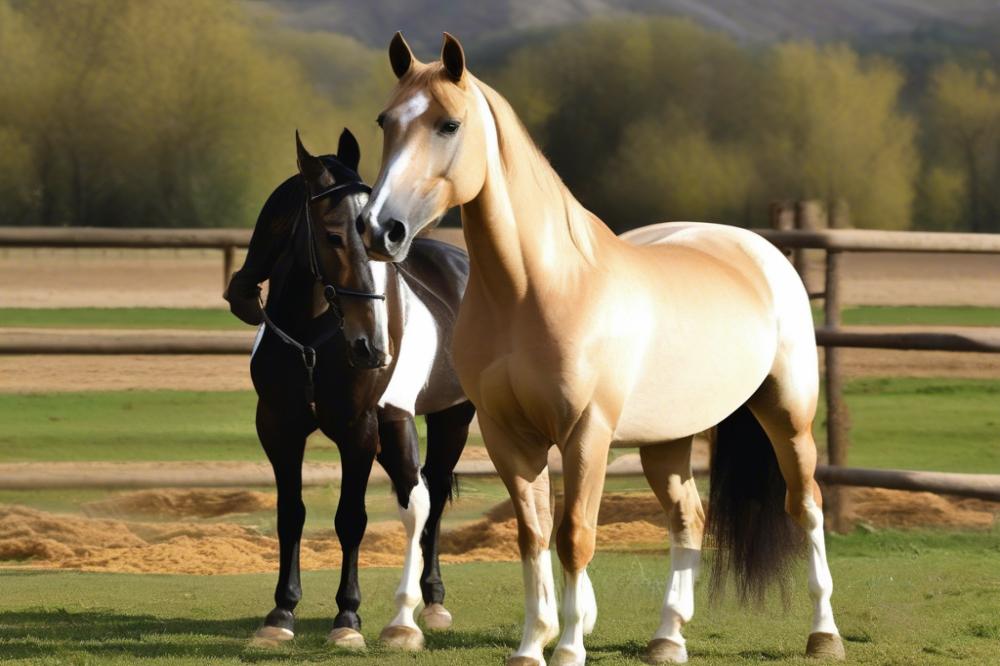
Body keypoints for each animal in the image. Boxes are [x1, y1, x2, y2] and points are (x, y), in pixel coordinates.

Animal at [225, 128, 474, 648]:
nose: (372, 346)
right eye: (333, 235)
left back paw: (428, 603)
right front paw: (281, 612)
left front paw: (347, 617)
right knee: (417, 495)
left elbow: (351, 519)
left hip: (452, 418)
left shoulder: (358, 431)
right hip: (397, 424)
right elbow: (291, 513)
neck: (313, 336)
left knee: (432, 496)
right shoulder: (278, 428)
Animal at [360, 35, 844, 664]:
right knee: (688, 520)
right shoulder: (507, 435)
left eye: (448, 124)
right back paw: (668, 636)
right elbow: (532, 534)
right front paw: (531, 644)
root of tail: (758, 250)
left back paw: (824, 632)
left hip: (788, 415)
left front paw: (567, 646)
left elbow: (574, 536)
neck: (538, 287)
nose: (380, 229)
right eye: (386, 121)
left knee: (805, 506)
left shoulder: (585, 432)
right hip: (667, 441)